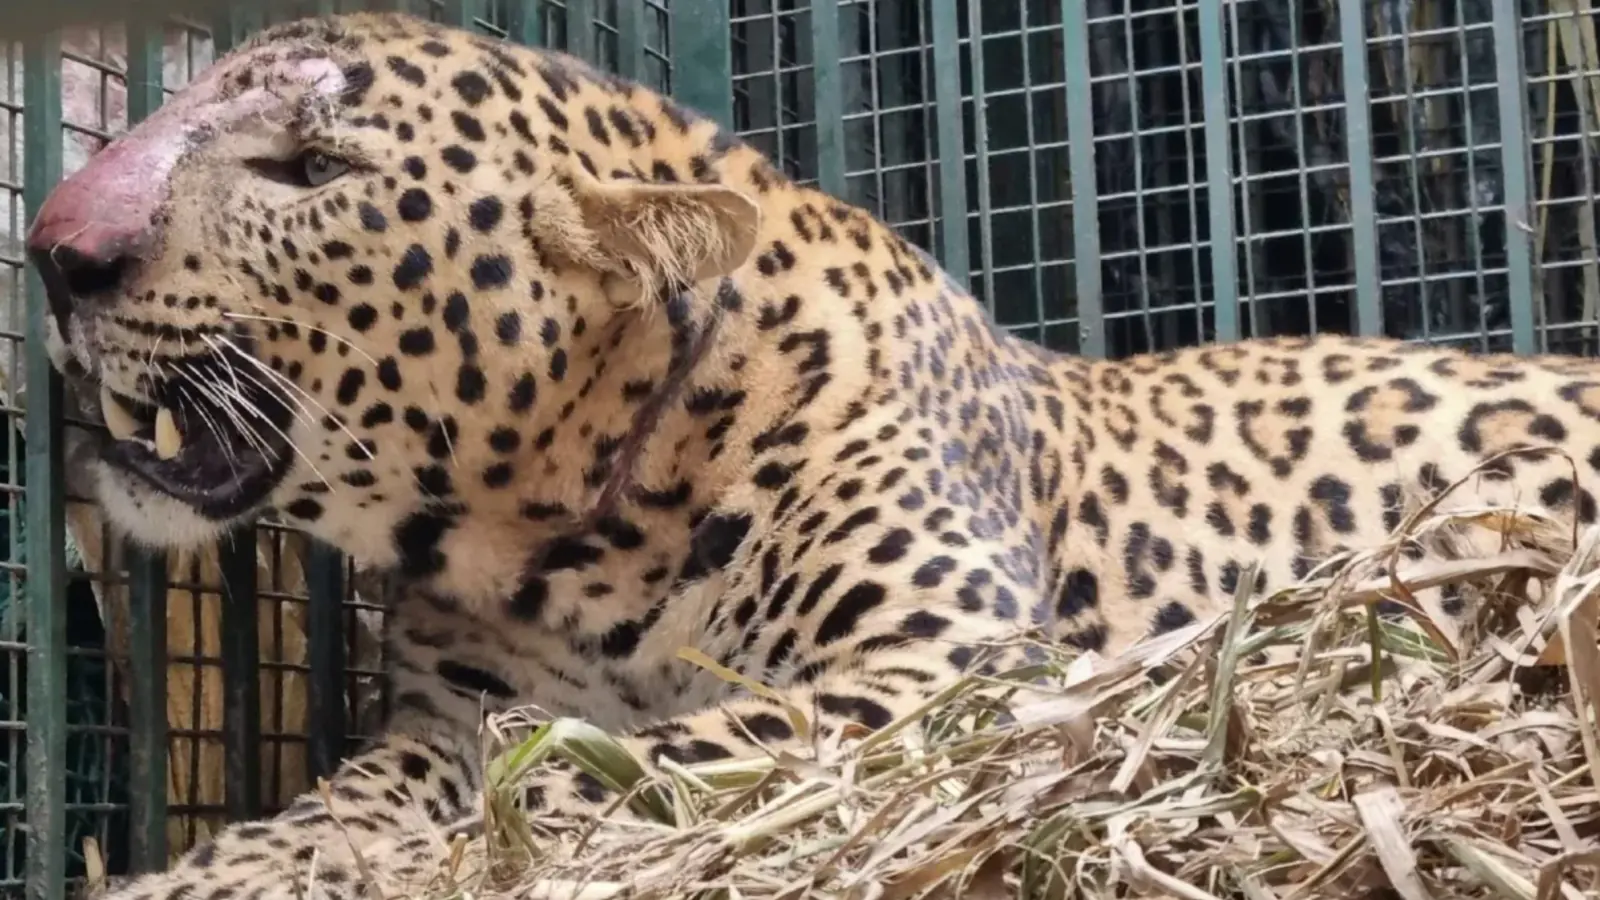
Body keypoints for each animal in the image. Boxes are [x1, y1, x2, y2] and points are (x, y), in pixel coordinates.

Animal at [21, 8, 1600, 896]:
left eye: (312, 171)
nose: (51, 249)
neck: (562, 533)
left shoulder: (946, 670)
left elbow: (611, 762)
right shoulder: (439, 717)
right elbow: (391, 784)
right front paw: (226, 869)